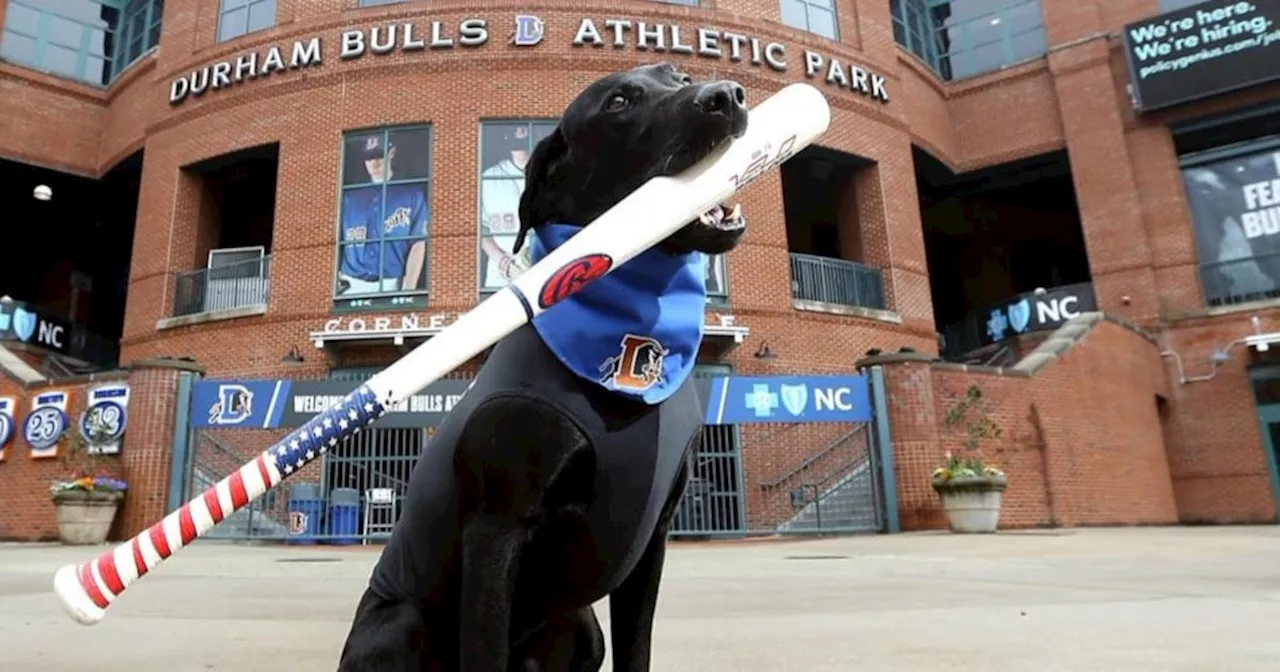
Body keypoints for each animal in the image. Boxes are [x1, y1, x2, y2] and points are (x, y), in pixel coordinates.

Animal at [337, 61, 747, 665]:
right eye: (619, 101)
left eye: (678, 76)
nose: (728, 95)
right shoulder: (498, 528)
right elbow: (484, 651)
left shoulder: (653, 540)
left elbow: (637, 650)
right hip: (402, 622)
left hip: (581, 625)